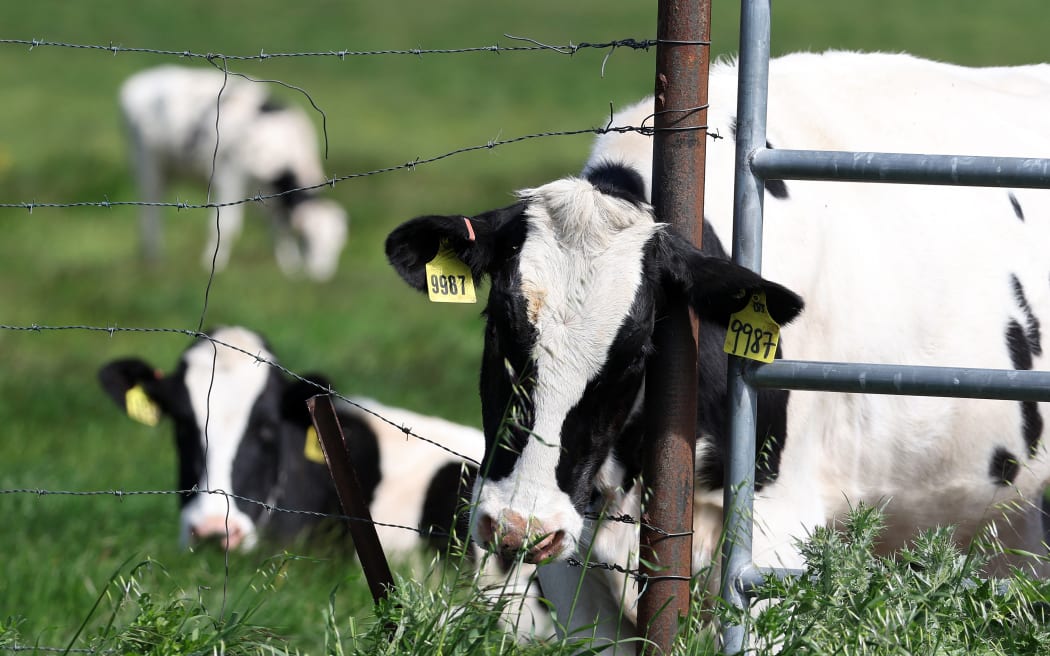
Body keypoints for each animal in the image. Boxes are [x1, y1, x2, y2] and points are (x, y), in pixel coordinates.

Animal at [118, 65, 348, 279]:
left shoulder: (269, 195)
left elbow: (279, 228)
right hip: (146, 163)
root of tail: (142, 79)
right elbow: (227, 226)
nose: (321, 275)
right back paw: (154, 258)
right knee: (149, 212)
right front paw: (213, 265)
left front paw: (289, 268)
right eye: (307, 240)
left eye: (337, 244)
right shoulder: (229, 176)